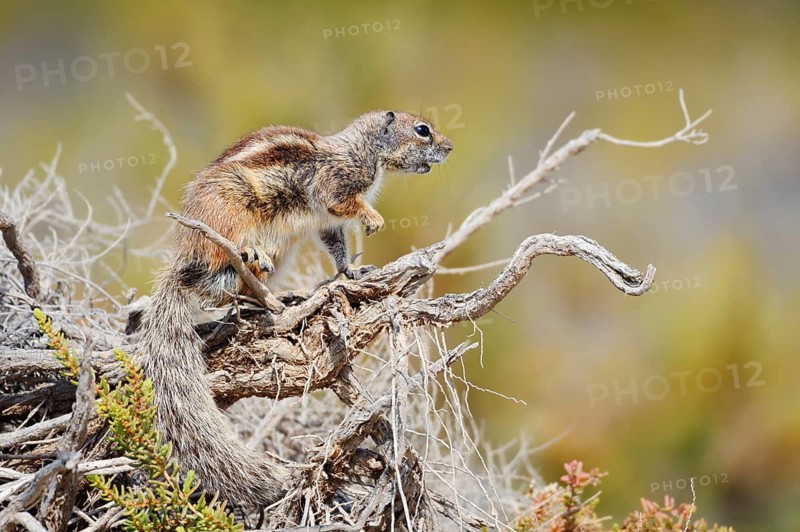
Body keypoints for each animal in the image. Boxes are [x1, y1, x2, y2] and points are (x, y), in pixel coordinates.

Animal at [137, 110, 452, 506]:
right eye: (422, 130)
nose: (450, 147)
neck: (363, 148)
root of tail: (184, 256)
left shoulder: (329, 224)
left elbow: (336, 244)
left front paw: (352, 271)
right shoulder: (336, 182)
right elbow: (341, 202)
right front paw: (373, 218)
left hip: (279, 252)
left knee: (223, 289)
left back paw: (273, 298)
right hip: (231, 211)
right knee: (216, 266)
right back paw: (250, 257)